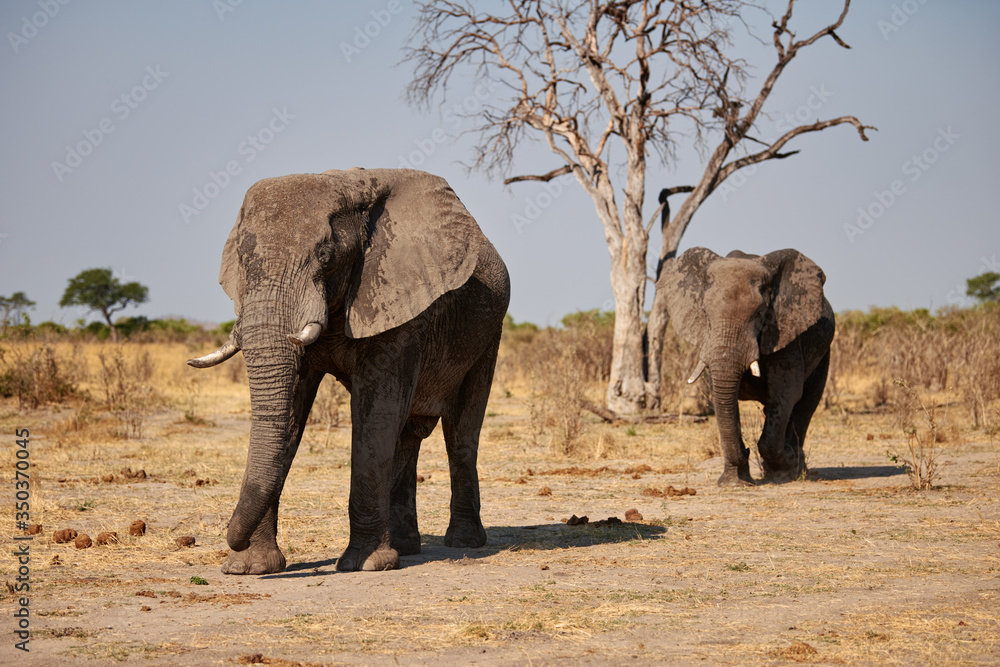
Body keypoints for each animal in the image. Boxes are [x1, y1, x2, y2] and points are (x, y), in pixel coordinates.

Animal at [188, 168, 510, 574]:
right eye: (243, 261)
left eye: (325, 256)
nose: (231, 538)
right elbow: (292, 412)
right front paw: (250, 569)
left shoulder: (396, 296)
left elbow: (375, 412)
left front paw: (365, 565)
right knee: (408, 433)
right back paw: (406, 547)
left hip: (488, 332)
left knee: (461, 432)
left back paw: (463, 542)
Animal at [659, 247, 834, 486]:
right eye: (705, 313)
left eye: (761, 314)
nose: (746, 451)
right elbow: (724, 398)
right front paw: (734, 483)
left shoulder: (785, 334)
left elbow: (786, 393)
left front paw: (784, 469)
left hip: (824, 352)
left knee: (806, 403)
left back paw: (795, 468)